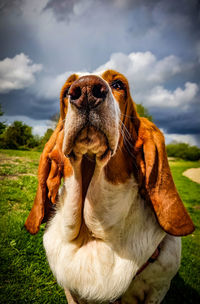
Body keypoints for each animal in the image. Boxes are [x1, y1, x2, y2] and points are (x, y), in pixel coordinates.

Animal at [24, 69, 194, 304]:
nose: (85, 89)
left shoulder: (158, 288)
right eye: (67, 91)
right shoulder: (71, 292)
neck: (93, 234)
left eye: (118, 84)